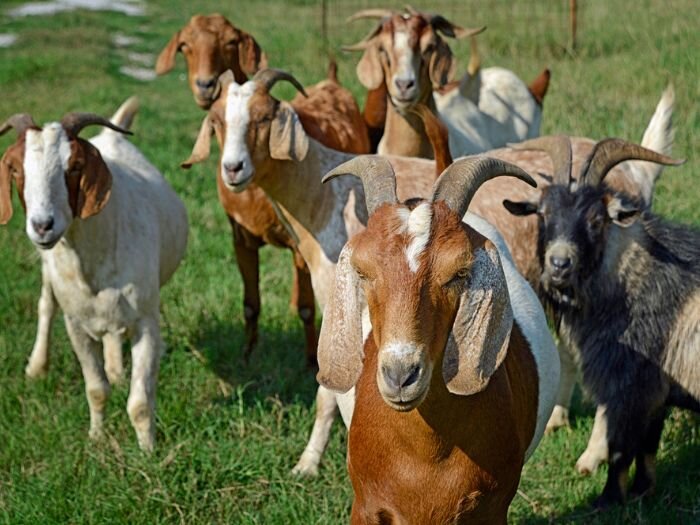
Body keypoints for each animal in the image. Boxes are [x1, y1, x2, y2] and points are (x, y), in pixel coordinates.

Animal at [0, 103, 188, 451]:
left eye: (74, 166)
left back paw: (115, 366)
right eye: (16, 169)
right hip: (48, 272)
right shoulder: (76, 325)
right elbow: (96, 389)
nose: (42, 225)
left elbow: (140, 403)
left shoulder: (145, 320)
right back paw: (37, 366)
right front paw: (96, 437)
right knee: (46, 305)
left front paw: (148, 451)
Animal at [158, 16, 370, 365]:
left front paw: (310, 359)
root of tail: (331, 81)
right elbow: (250, 304)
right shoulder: (240, 238)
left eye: (264, 118)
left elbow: (308, 308)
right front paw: (247, 355)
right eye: (185, 45)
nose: (233, 168)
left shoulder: (302, 242)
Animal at [181, 68, 556, 476]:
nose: (233, 169)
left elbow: (328, 391)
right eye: (217, 120)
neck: (320, 197)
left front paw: (308, 461)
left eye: (264, 117)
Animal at [502, 135, 699, 507]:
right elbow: (648, 444)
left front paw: (607, 500)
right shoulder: (654, 390)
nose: (559, 264)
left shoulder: (631, 384)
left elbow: (622, 448)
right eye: (543, 214)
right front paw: (642, 490)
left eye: (596, 220)